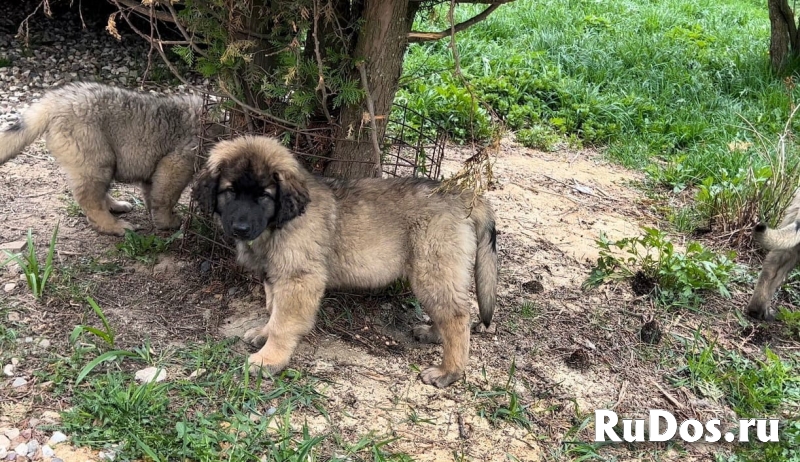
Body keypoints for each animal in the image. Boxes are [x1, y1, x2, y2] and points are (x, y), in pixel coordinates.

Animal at [1, 81, 206, 236]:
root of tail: (57, 99)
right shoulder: (177, 164)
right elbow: (166, 197)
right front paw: (168, 221)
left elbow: (152, 194)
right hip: (96, 160)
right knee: (90, 199)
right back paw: (114, 226)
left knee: (98, 194)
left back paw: (116, 206)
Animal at [192, 135, 494, 388]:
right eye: (230, 191)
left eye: (264, 196)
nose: (240, 228)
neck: (279, 224)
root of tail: (462, 195)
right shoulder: (275, 275)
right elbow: (272, 309)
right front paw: (264, 333)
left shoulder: (298, 279)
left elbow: (283, 322)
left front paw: (270, 359)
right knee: (449, 312)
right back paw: (433, 334)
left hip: (432, 269)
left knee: (457, 316)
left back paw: (449, 371)